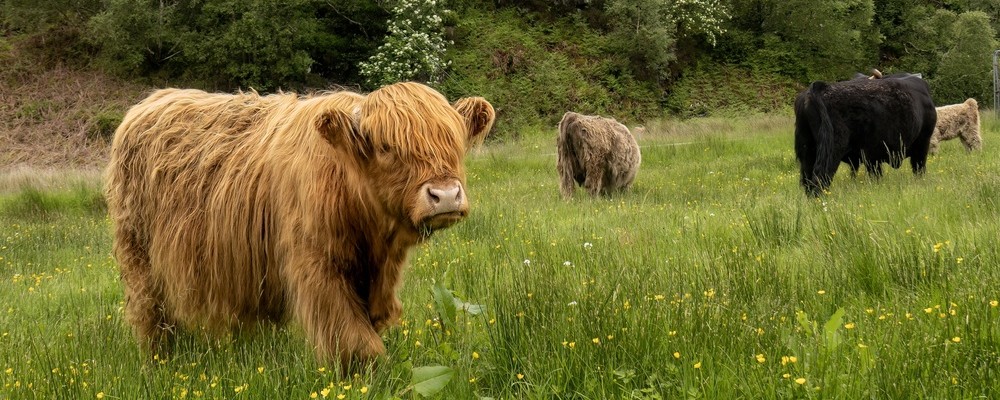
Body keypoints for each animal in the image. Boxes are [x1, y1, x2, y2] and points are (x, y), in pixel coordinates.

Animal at [105, 82, 495, 369]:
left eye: (454, 142)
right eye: (386, 147)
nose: (445, 195)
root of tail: (152, 100)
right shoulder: (318, 267)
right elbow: (356, 342)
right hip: (139, 257)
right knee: (151, 316)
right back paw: (160, 364)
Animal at [794, 74, 937, 196]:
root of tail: (821, 87)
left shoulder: (872, 157)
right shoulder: (922, 144)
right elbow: (918, 168)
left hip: (807, 151)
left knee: (808, 182)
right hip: (831, 151)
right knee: (819, 181)